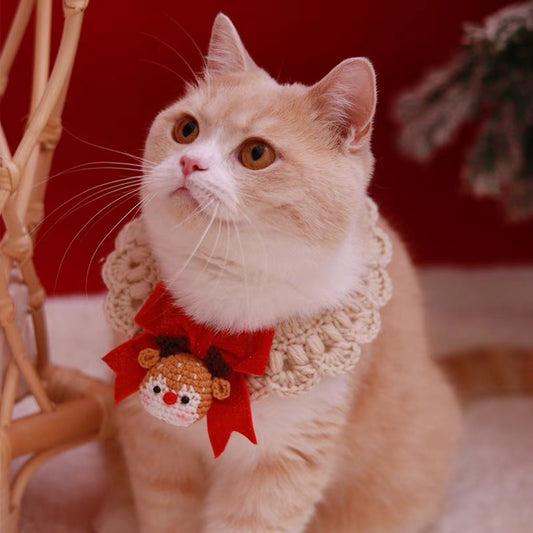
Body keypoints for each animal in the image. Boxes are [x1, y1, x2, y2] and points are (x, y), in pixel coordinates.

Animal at [98, 12, 462, 532]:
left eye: (257, 154)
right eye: (186, 129)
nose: (189, 161)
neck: (221, 295)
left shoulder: (282, 467)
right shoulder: (154, 449)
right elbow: (166, 513)